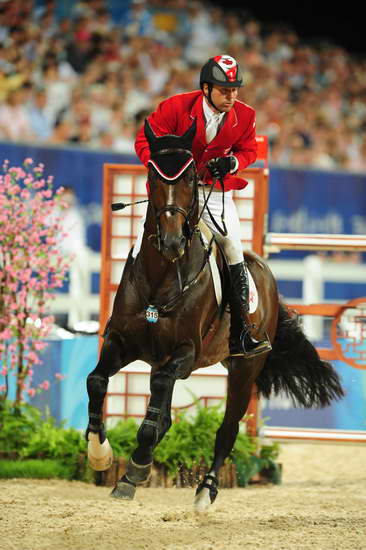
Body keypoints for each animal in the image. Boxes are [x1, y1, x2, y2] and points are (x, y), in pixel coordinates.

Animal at [86, 121, 344, 512]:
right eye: (153, 175)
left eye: (192, 177)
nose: (172, 242)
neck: (163, 275)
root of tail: (263, 270)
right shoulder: (121, 342)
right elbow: (97, 381)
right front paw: (100, 454)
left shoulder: (184, 353)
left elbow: (158, 401)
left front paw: (136, 467)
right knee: (163, 411)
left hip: (244, 368)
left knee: (226, 429)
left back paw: (204, 491)